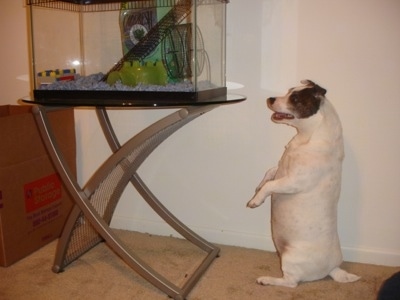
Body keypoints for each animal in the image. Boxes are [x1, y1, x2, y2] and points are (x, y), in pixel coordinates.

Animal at [247, 80, 360, 288]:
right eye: (289, 91)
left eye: (295, 99)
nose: (270, 99)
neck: (307, 138)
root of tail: (331, 269)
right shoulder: (280, 169)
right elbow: (268, 174)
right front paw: (257, 190)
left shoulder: (293, 182)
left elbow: (270, 186)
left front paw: (256, 200)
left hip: (290, 259)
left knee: (291, 283)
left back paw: (267, 280)